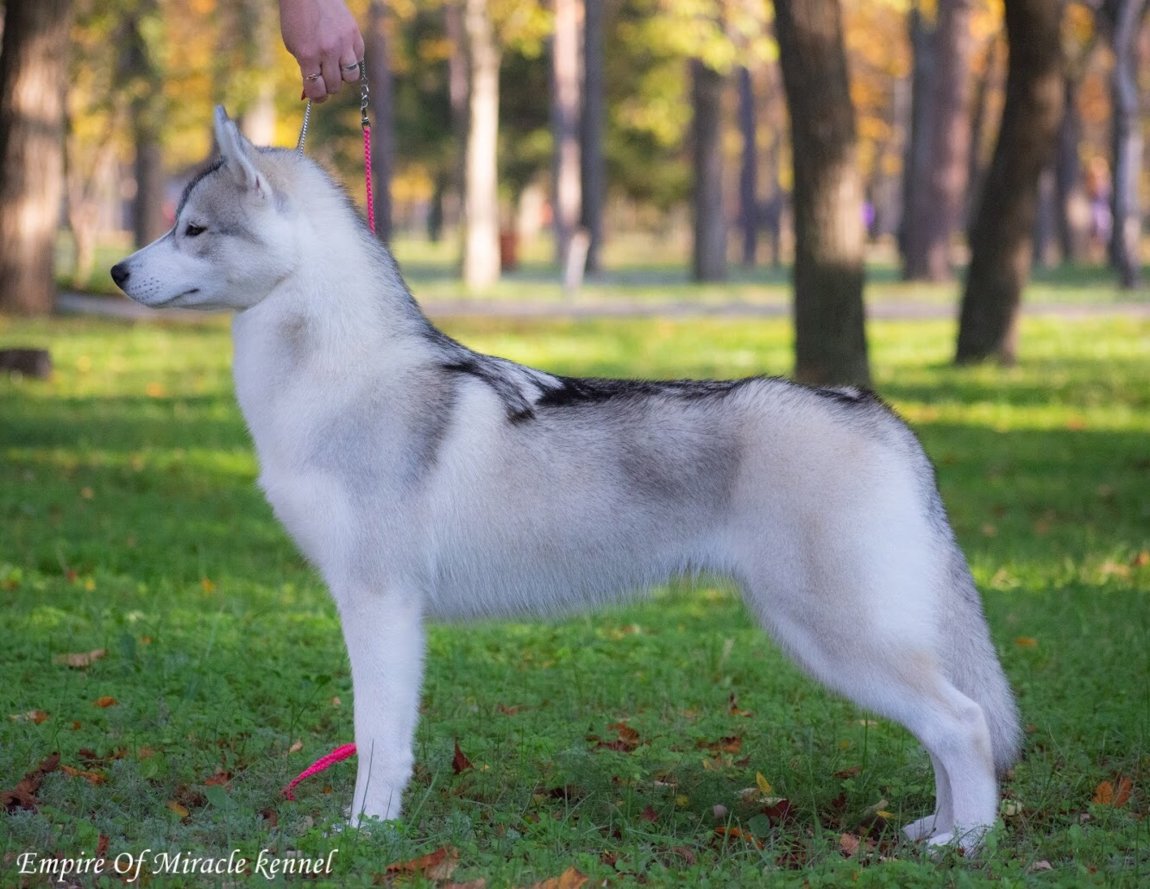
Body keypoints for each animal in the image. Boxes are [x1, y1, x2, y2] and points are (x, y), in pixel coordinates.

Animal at [112, 107, 1021, 851]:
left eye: (193, 228)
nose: (118, 272)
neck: (336, 372)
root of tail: (874, 410)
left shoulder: (378, 601)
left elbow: (377, 738)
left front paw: (365, 832)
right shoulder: (384, 608)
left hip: (838, 633)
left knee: (966, 723)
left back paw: (966, 843)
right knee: (945, 729)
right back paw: (934, 825)